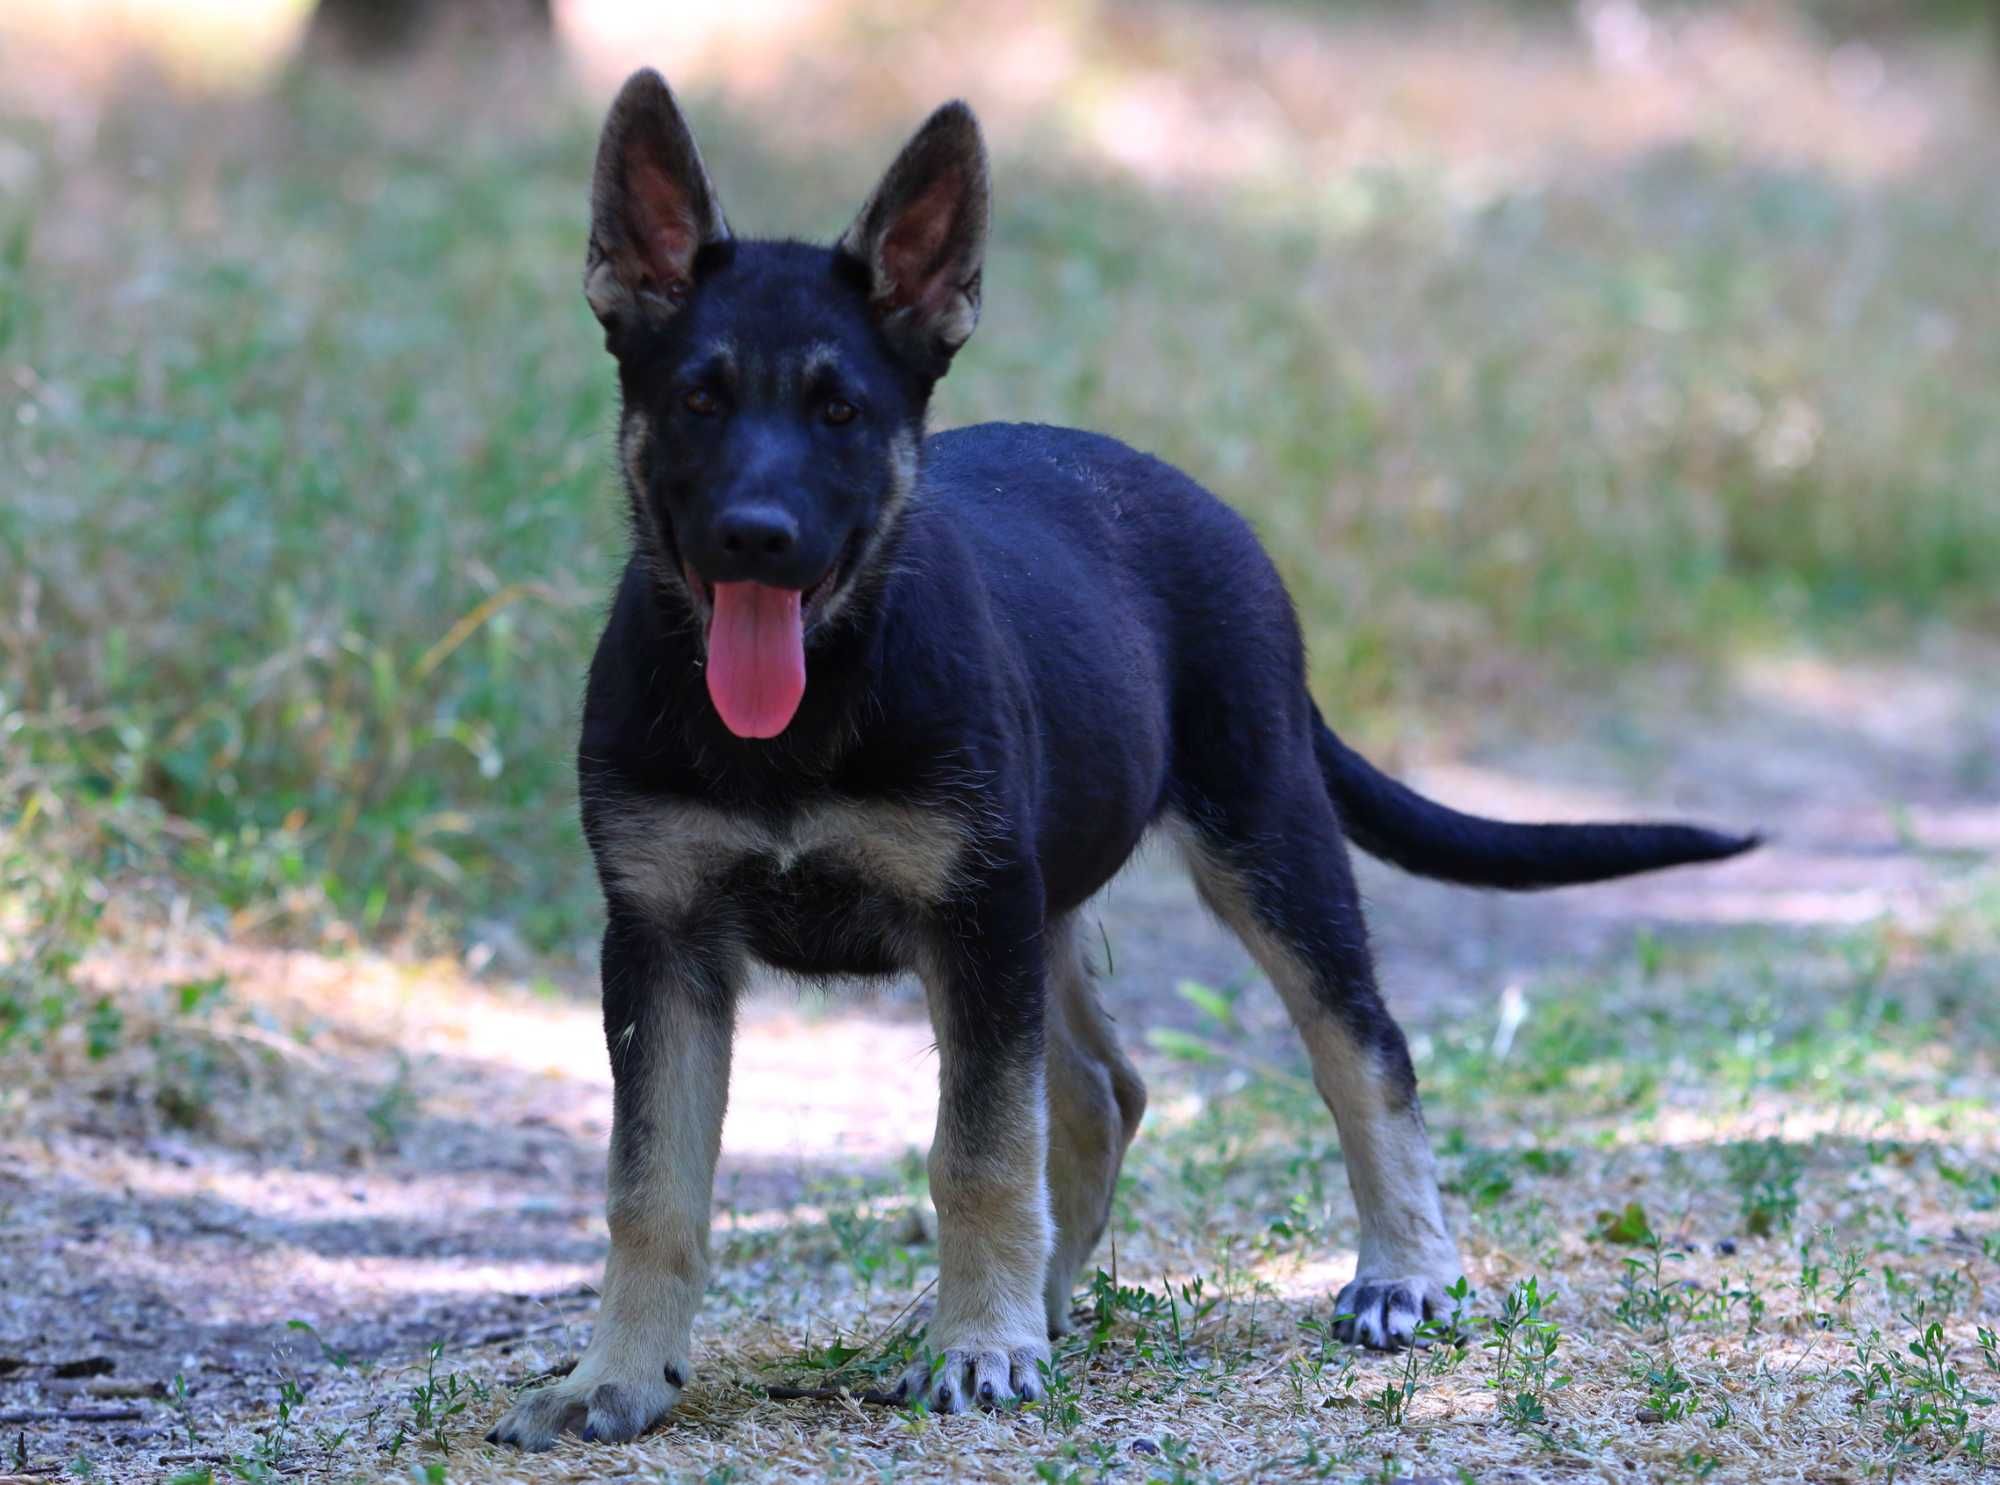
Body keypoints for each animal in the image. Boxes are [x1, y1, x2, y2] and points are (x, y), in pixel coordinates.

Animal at [484, 72, 1752, 1456]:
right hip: (1044, 901)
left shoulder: (968, 919)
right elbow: (650, 1183)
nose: (754, 539)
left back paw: (1399, 1272)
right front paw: (617, 1375)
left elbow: (976, 1155)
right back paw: (1037, 1301)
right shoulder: (664, 939)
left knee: (1359, 1047)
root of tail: (1199, 503)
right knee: (1104, 1091)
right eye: (699, 400)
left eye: (840, 412)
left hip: (1256, 840)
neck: (808, 707)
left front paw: (978, 1351)